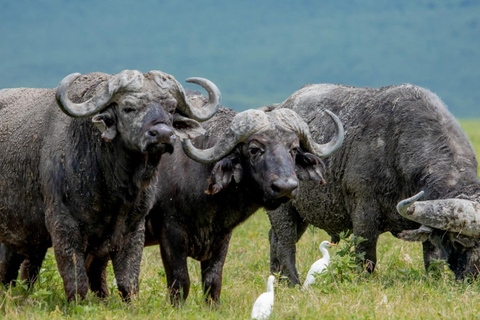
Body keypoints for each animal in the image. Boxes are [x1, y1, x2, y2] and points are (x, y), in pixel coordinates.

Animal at [0, 69, 220, 300]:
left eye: (170, 108)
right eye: (128, 107)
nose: (162, 134)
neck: (113, 188)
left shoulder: (133, 228)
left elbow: (127, 281)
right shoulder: (63, 225)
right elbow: (77, 282)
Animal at [142, 103, 344, 304]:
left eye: (293, 149)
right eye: (254, 149)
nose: (285, 187)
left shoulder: (221, 236)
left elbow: (213, 281)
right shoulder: (170, 233)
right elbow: (180, 281)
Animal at [266, 84, 480, 284]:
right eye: (459, 240)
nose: (473, 275)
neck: (396, 146)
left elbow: (433, 258)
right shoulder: (364, 213)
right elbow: (366, 257)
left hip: (301, 214)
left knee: (274, 238)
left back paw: (277, 278)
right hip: (283, 209)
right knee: (286, 243)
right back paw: (292, 281)